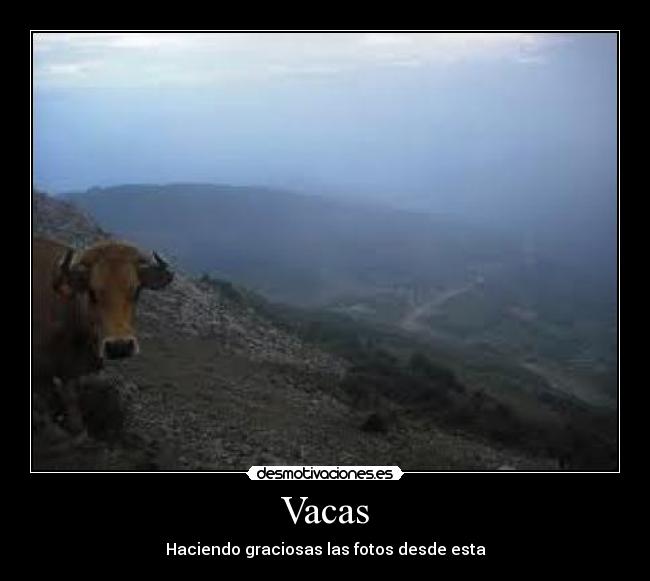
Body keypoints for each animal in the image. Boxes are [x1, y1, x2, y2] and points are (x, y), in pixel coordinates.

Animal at [32, 236, 174, 433]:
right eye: (91, 292)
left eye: (136, 290)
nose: (120, 347)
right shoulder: (41, 374)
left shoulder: (70, 372)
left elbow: (72, 402)